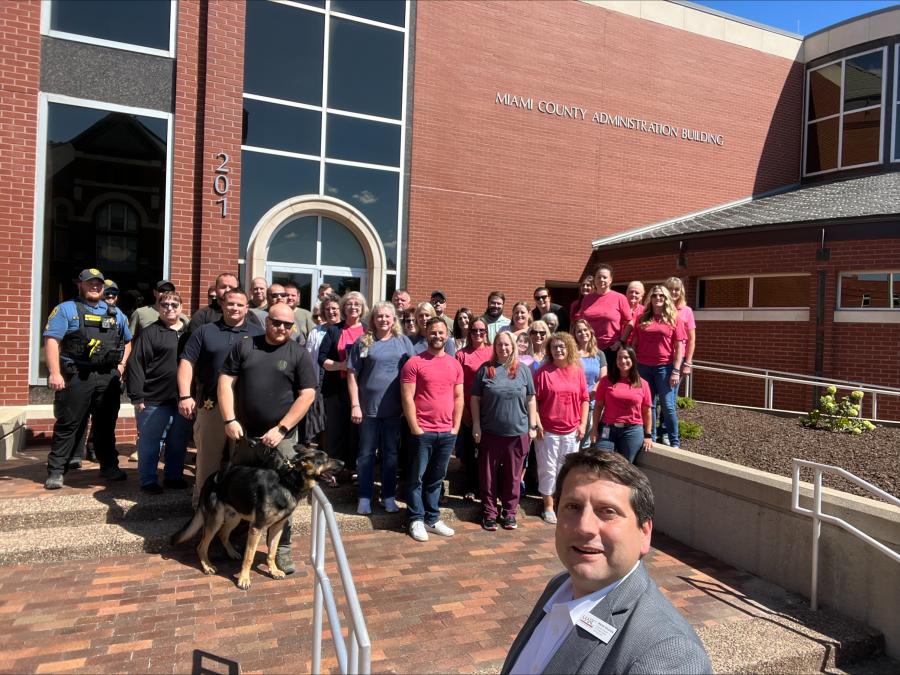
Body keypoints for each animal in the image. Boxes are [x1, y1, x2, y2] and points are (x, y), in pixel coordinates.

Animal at [171, 448, 342, 588]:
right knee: (201, 546)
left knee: (223, 534)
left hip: (235, 517)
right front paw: (244, 580)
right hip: (216, 519)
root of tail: (210, 478)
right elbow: (249, 556)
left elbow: (271, 552)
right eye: (326, 459)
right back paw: (207, 566)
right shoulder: (256, 527)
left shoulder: (277, 527)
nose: (343, 462)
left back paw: (231, 552)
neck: (288, 482)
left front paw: (273, 571)